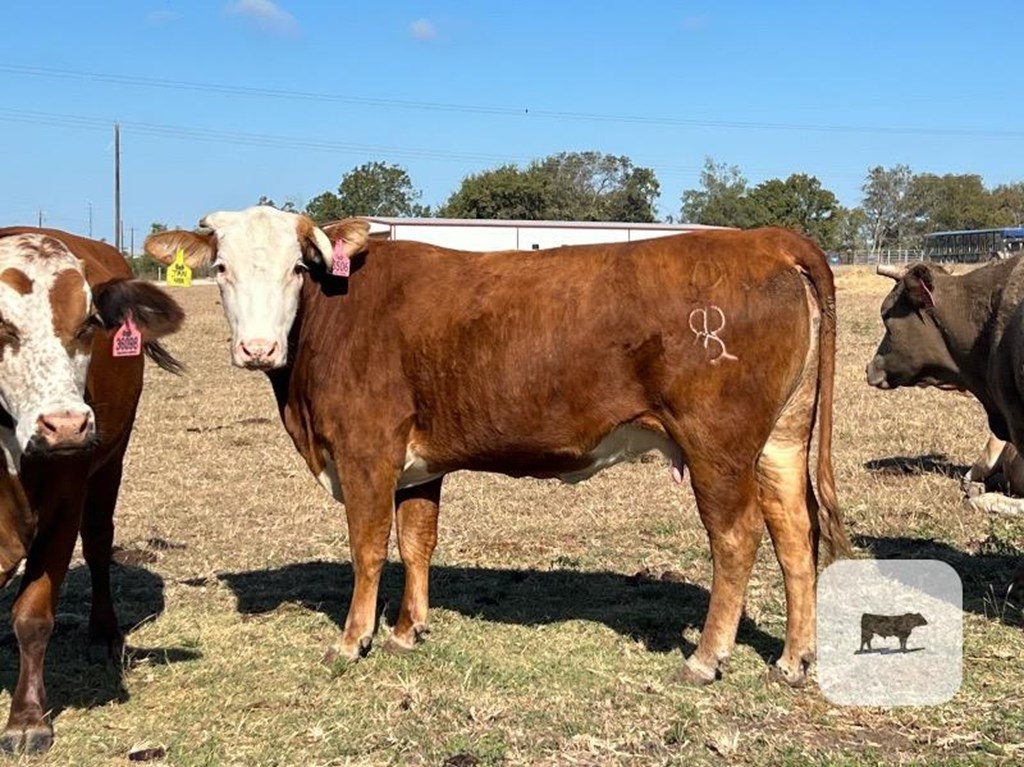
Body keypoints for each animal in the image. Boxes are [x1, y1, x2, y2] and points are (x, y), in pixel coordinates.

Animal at [0, 229, 184, 753]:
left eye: (87, 325)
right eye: (1, 326)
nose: (65, 426)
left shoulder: (65, 503)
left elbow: (33, 612)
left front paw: (27, 719)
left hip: (111, 463)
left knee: (100, 542)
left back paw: (103, 633)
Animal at [144, 204, 847, 688]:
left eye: (297, 267)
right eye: (221, 269)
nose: (257, 348)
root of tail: (764, 239)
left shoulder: (366, 449)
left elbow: (369, 547)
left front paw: (353, 640)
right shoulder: (418, 463)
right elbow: (417, 540)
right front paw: (407, 631)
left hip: (715, 444)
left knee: (737, 537)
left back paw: (706, 657)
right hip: (779, 441)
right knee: (794, 532)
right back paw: (794, 659)